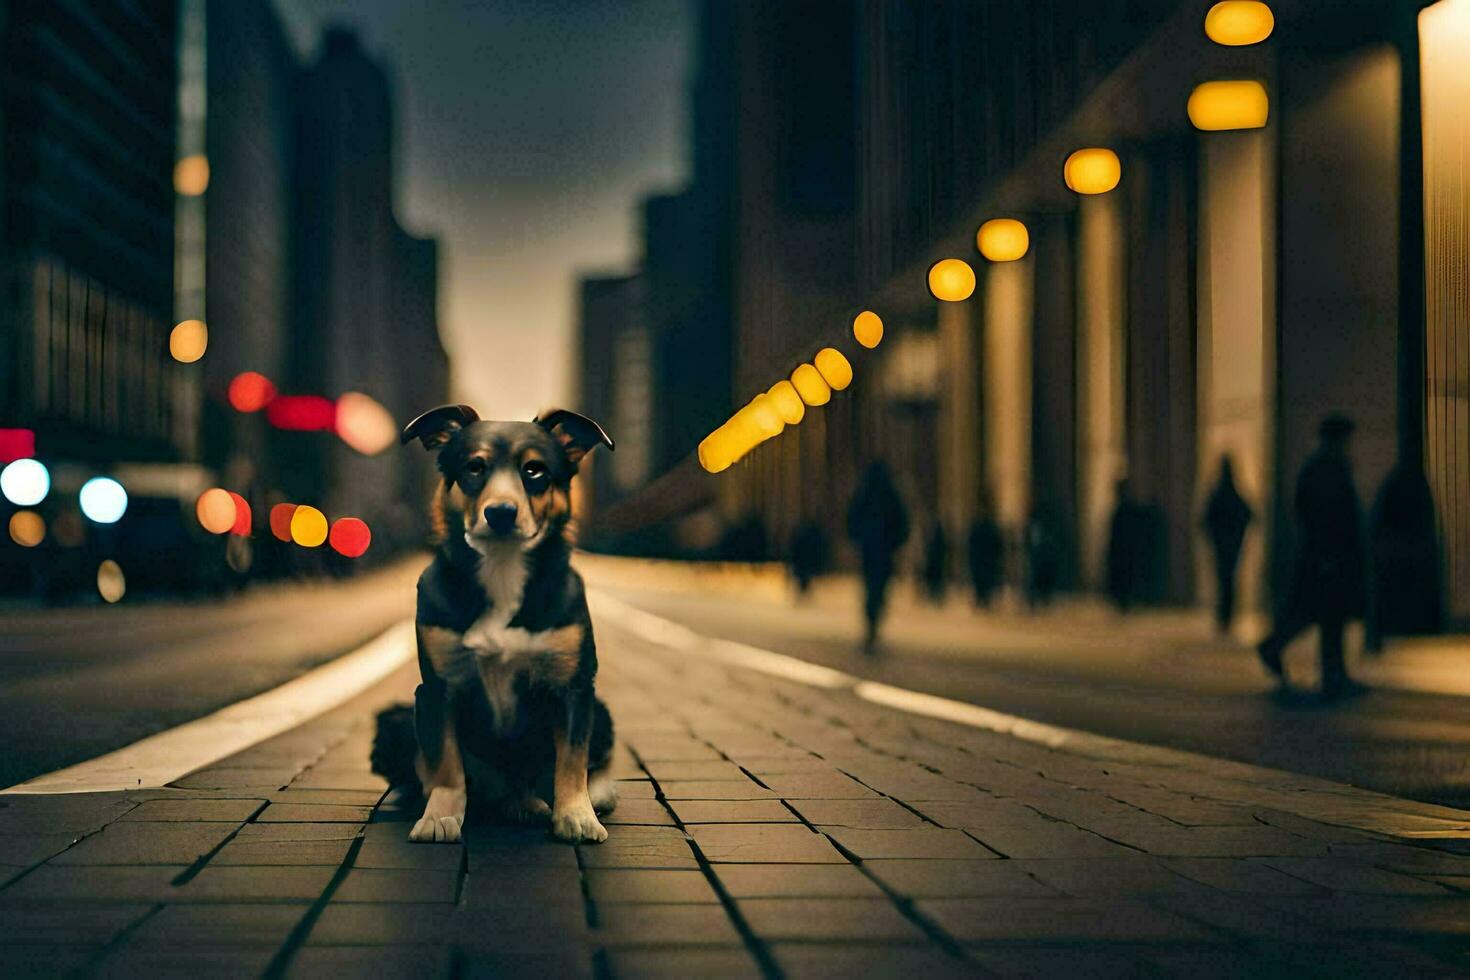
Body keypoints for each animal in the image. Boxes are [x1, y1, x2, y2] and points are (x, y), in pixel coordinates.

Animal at [373, 402, 620, 846]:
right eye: (474, 467)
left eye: (535, 470)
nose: (501, 513)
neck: (503, 570)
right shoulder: (436, 689)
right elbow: (446, 763)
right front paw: (440, 815)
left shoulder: (574, 688)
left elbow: (572, 760)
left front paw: (577, 814)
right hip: (399, 720)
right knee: (482, 783)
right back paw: (515, 804)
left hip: (603, 711)